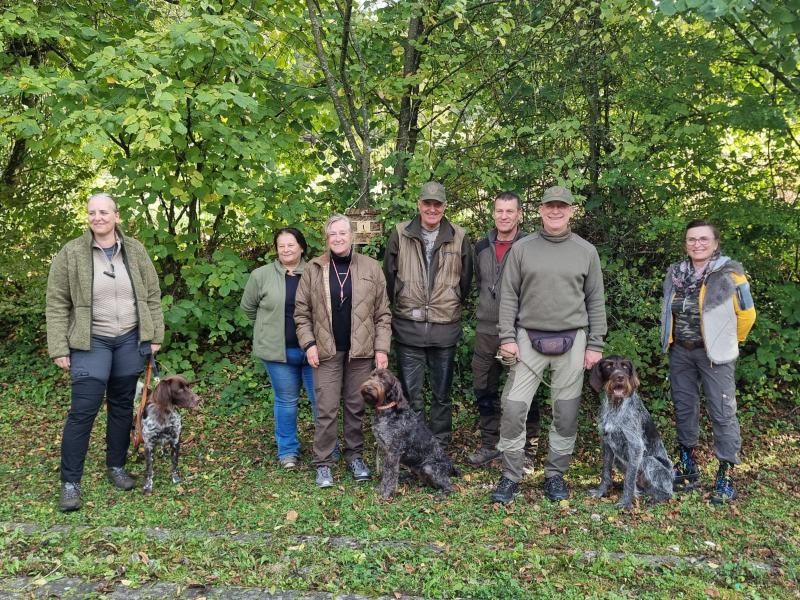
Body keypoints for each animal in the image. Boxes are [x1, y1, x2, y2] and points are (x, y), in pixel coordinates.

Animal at [360, 368, 460, 500]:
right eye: (372, 376)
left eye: (383, 379)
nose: (368, 388)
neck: (387, 411)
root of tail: (451, 467)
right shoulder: (383, 449)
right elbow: (385, 472)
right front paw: (381, 488)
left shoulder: (393, 452)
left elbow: (390, 474)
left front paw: (386, 493)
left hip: (428, 467)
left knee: (450, 486)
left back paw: (442, 495)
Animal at [592, 356, 672, 510]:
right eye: (609, 366)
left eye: (624, 366)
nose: (620, 377)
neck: (616, 406)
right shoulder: (607, 443)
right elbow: (606, 472)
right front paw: (601, 491)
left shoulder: (635, 446)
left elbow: (629, 479)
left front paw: (625, 502)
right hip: (618, 459)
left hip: (649, 462)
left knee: (667, 492)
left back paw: (657, 498)